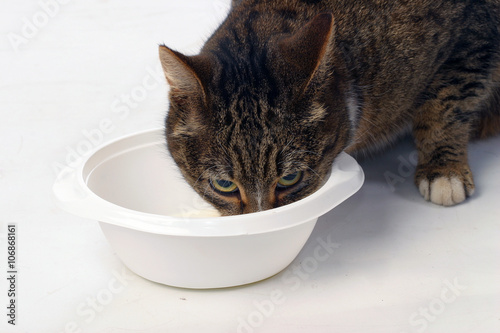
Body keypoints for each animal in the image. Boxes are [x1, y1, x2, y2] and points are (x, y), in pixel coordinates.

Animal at [159, 0, 500, 215]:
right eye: (224, 185)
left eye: (289, 179)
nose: (260, 220)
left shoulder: (475, 31)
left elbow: (446, 104)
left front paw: (444, 172)